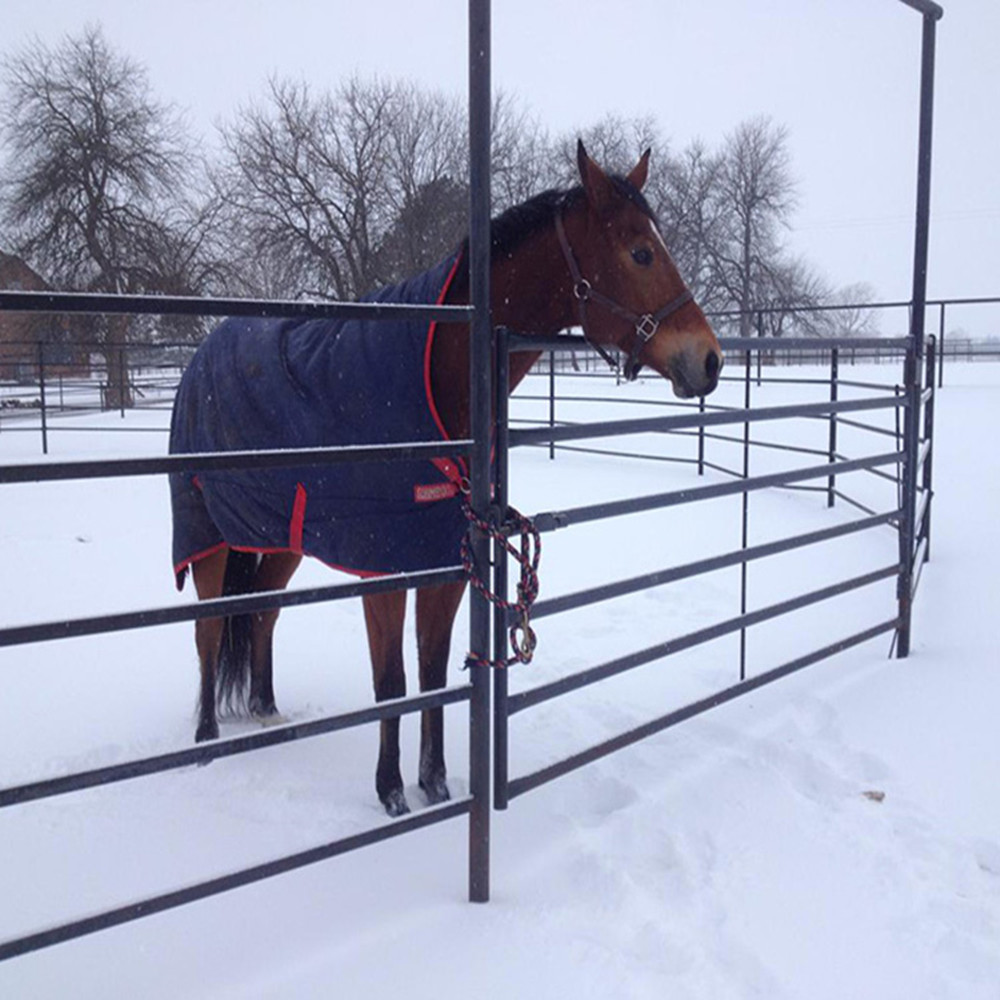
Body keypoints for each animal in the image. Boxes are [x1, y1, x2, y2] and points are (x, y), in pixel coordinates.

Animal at [170, 141, 720, 816]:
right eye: (641, 252)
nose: (710, 359)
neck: (437, 374)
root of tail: (198, 360)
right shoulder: (381, 567)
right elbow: (392, 681)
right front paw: (391, 791)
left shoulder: (445, 558)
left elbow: (432, 669)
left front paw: (434, 783)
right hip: (208, 539)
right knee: (209, 628)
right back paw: (206, 738)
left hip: (278, 538)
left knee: (262, 613)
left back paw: (266, 711)